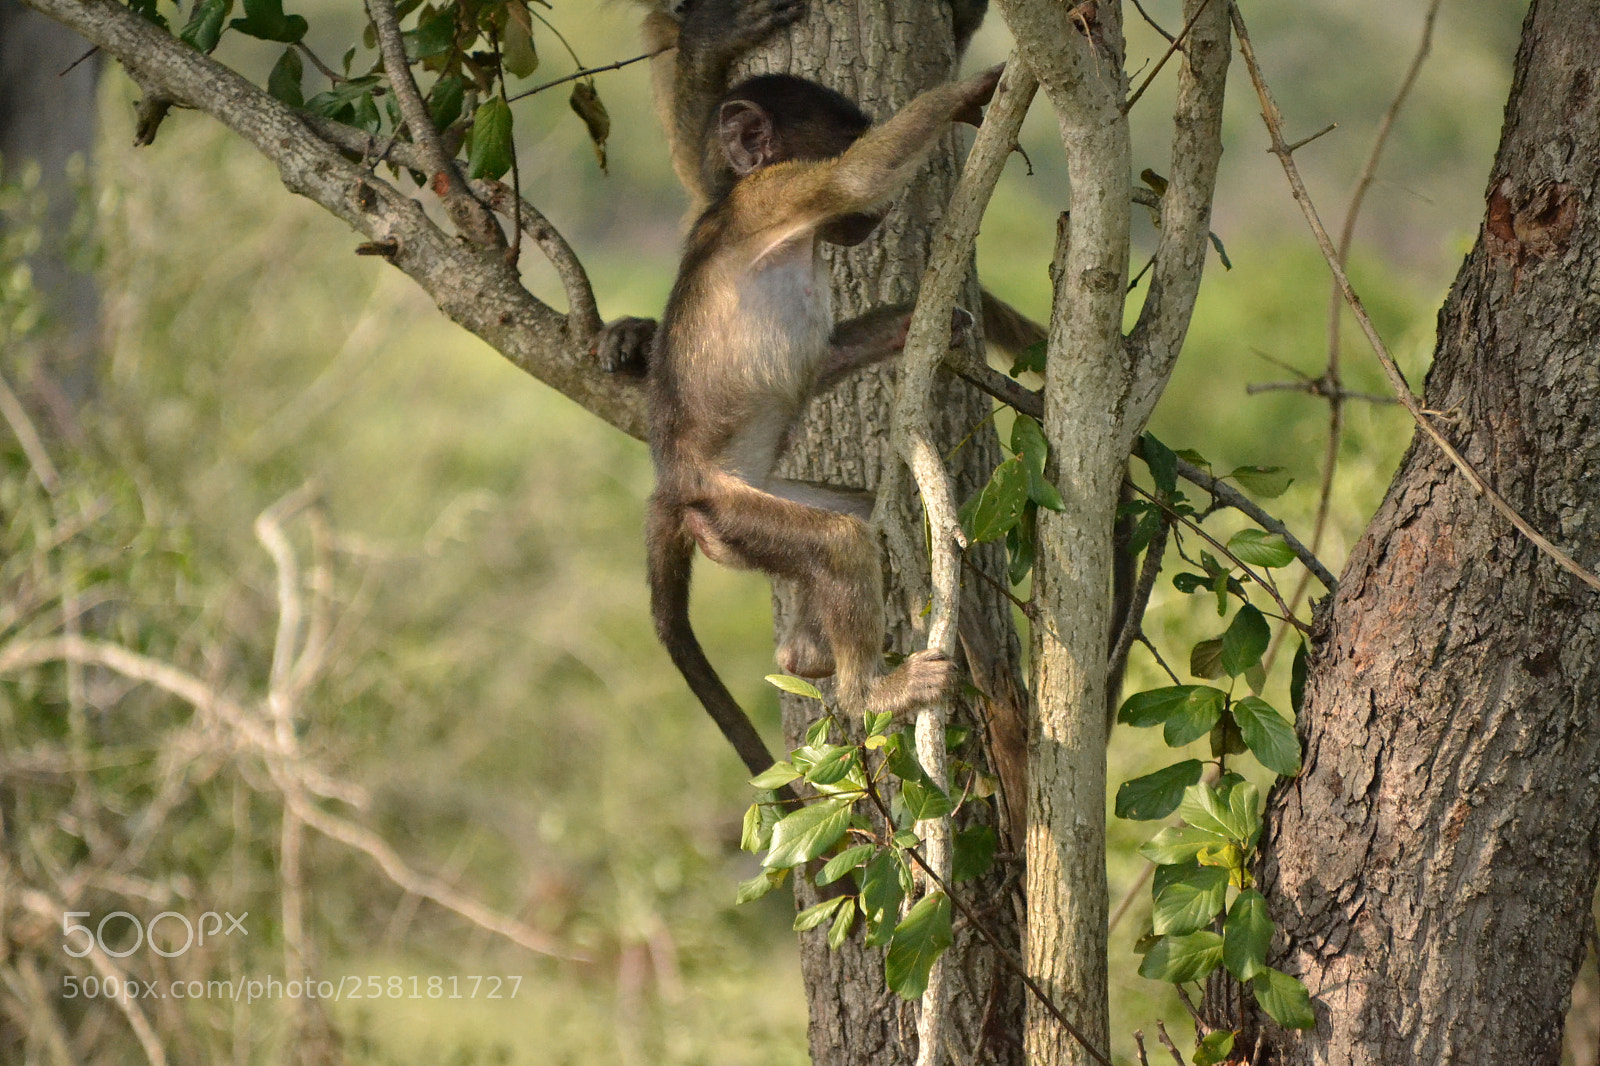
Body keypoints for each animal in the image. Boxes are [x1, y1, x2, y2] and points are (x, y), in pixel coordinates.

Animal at [647, 66, 1004, 776]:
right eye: (843, 134)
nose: (878, 222)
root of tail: (676, 487)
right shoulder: (777, 194)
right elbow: (854, 180)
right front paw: (972, 91)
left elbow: (828, 358)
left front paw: (927, 323)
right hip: (728, 510)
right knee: (838, 541)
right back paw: (870, 692)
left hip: (743, 523)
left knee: (856, 515)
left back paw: (805, 657)